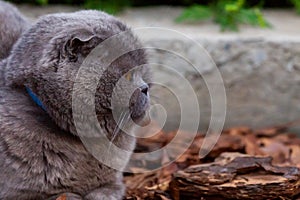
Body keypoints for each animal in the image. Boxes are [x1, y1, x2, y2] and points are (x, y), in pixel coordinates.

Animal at [0, 8, 150, 199]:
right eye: (129, 75)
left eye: (141, 72)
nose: (146, 88)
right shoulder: (20, 193)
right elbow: (66, 194)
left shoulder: (113, 185)